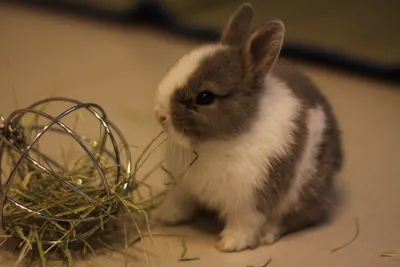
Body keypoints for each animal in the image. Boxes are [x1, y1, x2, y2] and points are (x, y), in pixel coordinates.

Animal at [153, 2, 344, 253]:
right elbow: (180, 203)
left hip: (303, 193)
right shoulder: (183, 187)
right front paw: (165, 216)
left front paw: (229, 244)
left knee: (303, 216)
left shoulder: (250, 202)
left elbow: (244, 224)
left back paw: (269, 234)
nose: (160, 115)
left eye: (205, 97)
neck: (215, 143)